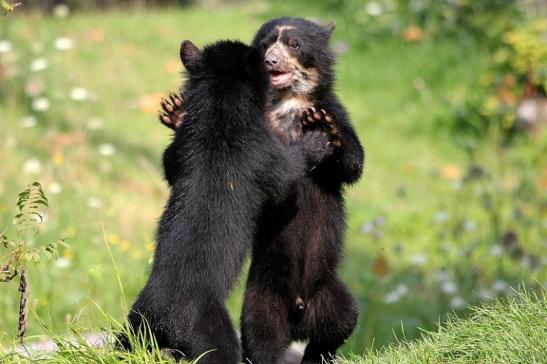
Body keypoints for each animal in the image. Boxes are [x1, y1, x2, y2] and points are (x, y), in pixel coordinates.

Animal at [125, 38, 334, 362]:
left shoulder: (181, 150)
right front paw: (318, 139)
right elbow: (287, 172)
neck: (220, 111)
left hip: (137, 321)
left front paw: (176, 114)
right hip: (211, 328)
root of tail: (165, 318)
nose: (273, 60)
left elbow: (168, 162)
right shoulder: (263, 153)